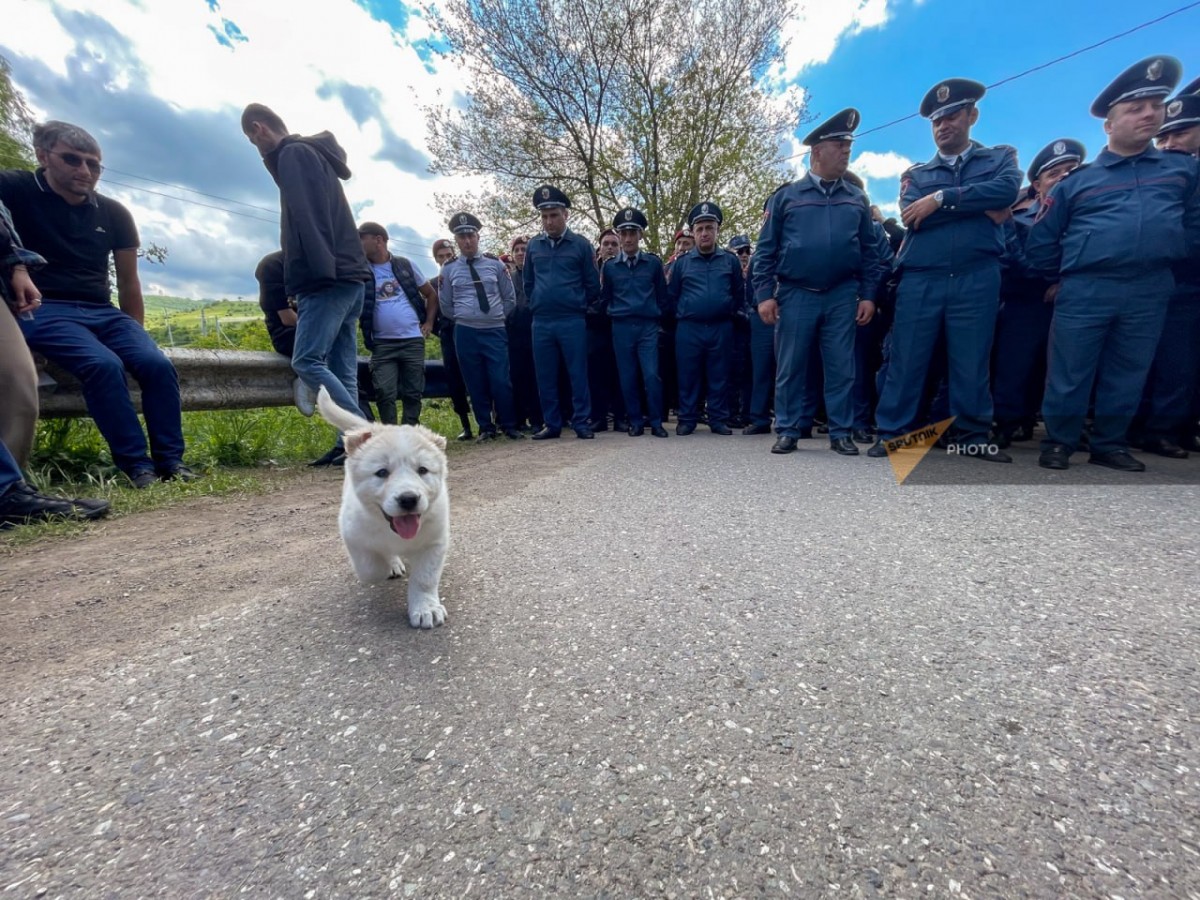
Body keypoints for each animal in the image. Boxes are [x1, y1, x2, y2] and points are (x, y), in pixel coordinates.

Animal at [316, 391, 451, 628]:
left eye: (422, 470)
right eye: (381, 473)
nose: (408, 499)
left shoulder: (435, 542)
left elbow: (425, 579)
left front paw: (426, 609)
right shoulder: (353, 537)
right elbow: (371, 569)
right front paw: (387, 567)